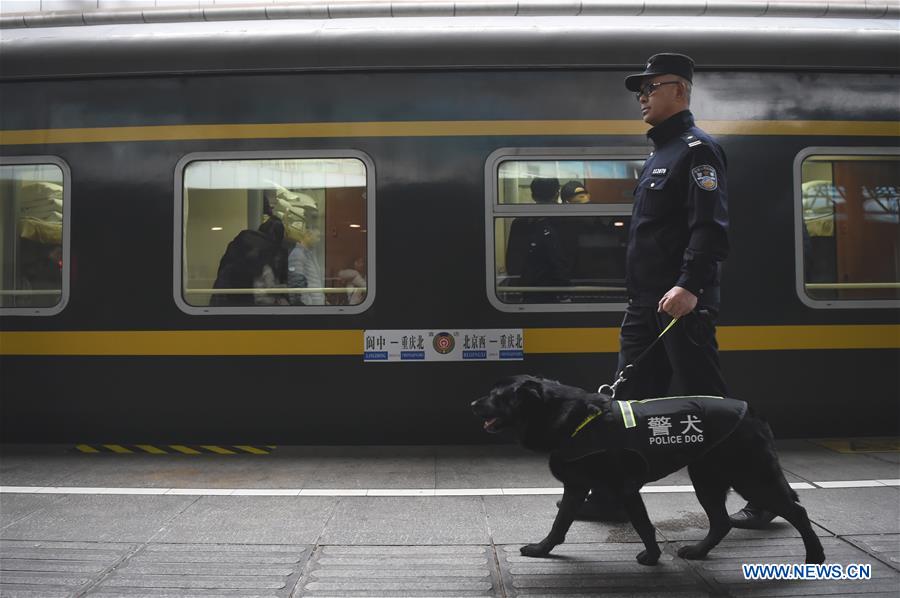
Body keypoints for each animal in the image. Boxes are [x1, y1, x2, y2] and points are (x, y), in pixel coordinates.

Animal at [472, 378, 824, 568]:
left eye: (497, 396)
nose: (473, 403)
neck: (571, 419)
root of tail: (751, 410)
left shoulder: (625, 488)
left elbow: (643, 525)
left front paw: (653, 557)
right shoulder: (576, 487)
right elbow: (560, 525)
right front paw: (541, 550)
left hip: (746, 476)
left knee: (796, 509)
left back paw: (815, 556)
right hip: (707, 478)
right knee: (722, 522)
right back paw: (699, 551)